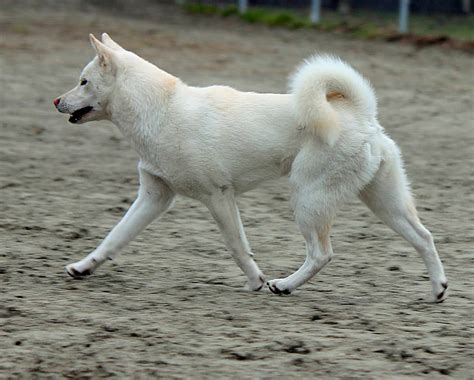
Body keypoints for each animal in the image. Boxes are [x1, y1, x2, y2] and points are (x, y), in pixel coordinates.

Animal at [54, 35, 448, 302]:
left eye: (84, 81)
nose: (56, 100)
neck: (161, 110)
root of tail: (362, 114)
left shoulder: (218, 198)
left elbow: (237, 246)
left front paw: (256, 280)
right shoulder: (154, 197)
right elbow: (115, 236)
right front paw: (83, 267)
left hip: (309, 199)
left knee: (322, 254)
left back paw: (284, 285)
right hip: (384, 201)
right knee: (424, 237)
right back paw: (438, 290)